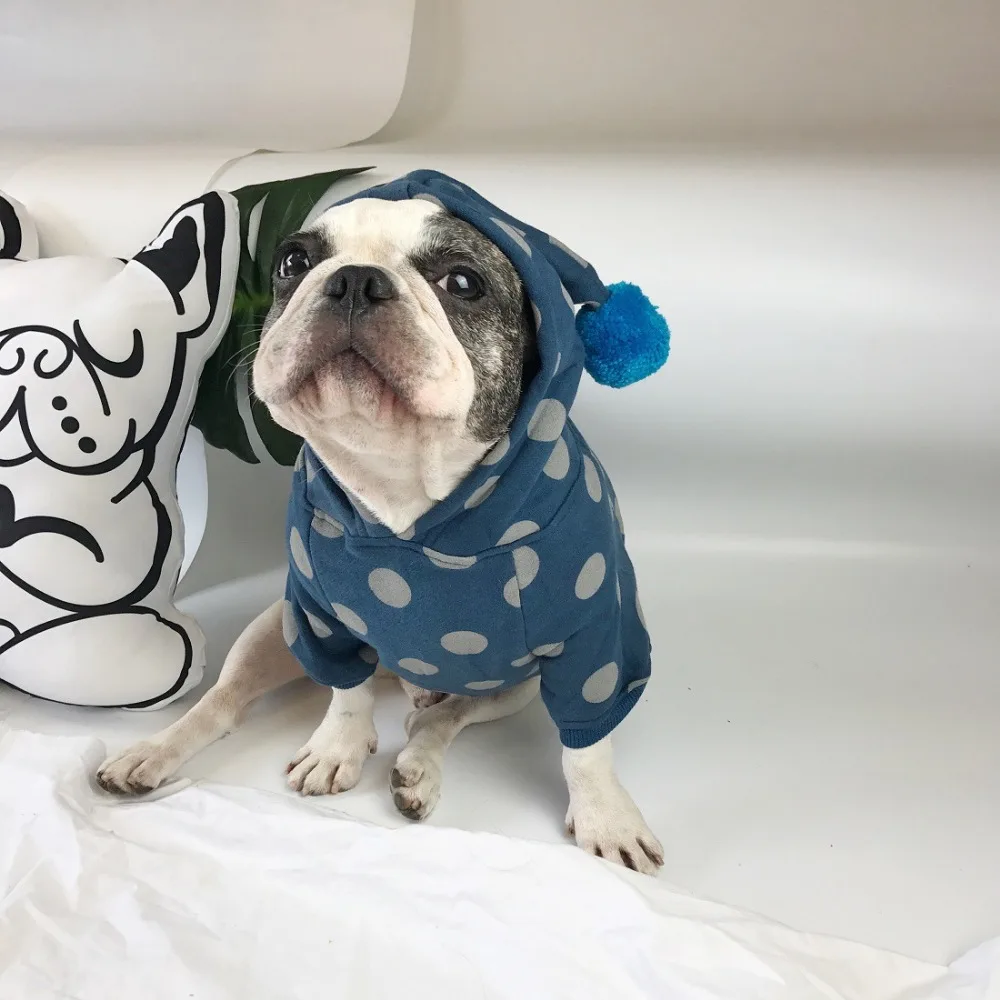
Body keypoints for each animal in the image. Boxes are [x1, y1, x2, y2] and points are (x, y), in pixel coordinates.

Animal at [98, 172, 664, 874]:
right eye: (292, 263)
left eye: (463, 281)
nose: (354, 280)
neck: (401, 484)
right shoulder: (322, 619)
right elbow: (347, 691)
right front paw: (335, 747)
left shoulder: (592, 644)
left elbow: (587, 745)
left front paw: (606, 817)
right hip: (273, 627)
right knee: (225, 702)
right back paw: (151, 752)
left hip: (515, 687)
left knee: (442, 719)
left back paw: (418, 767)